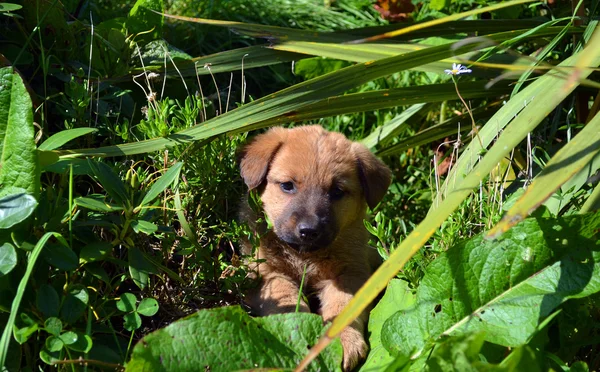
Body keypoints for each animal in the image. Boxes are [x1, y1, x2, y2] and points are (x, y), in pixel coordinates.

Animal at [239, 124, 394, 370]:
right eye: (287, 186)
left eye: (337, 191)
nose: (309, 231)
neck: (305, 257)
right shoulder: (267, 273)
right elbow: (285, 301)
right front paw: (294, 332)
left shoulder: (350, 272)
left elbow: (342, 306)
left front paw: (343, 341)